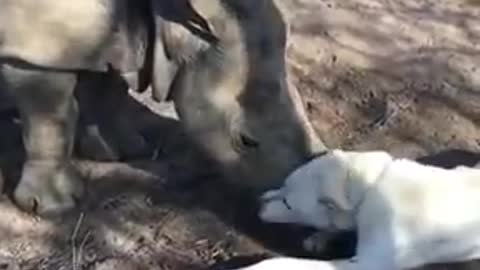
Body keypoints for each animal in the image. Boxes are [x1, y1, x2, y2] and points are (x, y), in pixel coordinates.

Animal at [0, 0, 326, 217]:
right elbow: (51, 118)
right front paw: (54, 208)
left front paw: (119, 152)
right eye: (246, 141)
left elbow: (108, 87)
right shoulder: (35, 51)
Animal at [227, 150, 480, 270]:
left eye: (289, 204)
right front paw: (319, 238)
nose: (257, 202)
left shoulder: (366, 263)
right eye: (282, 184)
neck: (372, 188)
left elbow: (286, 263)